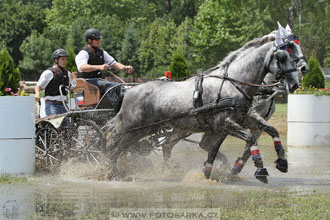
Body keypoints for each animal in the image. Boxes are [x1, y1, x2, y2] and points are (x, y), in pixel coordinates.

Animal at [106, 27, 302, 182]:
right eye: (282, 56)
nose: (295, 84)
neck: (233, 84)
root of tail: (128, 91)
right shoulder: (227, 123)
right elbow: (250, 139)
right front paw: (260, 169)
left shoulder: (232, 123)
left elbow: (269, 131)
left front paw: (282, 162)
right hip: (136, 130)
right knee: (115, 149)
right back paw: (111, 173)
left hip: (159, 129)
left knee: (160, 145)